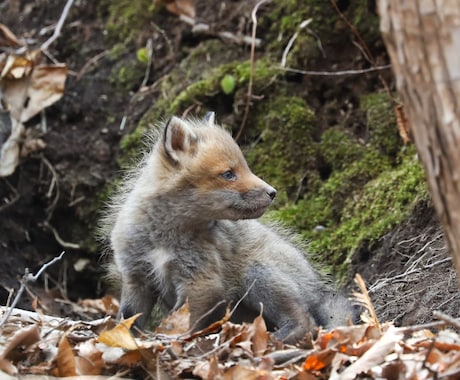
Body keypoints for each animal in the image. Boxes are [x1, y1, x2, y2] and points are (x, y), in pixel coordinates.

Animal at [105, 113, 356, 342]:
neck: (163, 236)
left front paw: (167, 340)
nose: (273, 192)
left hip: (257, 273)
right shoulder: (136, 278)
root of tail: (318, 286)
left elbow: (179, 322)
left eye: (245, 167)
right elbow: (126, 318)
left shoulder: (202, 282)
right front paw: (122, 338)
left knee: (306, 322)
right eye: (228, 174)